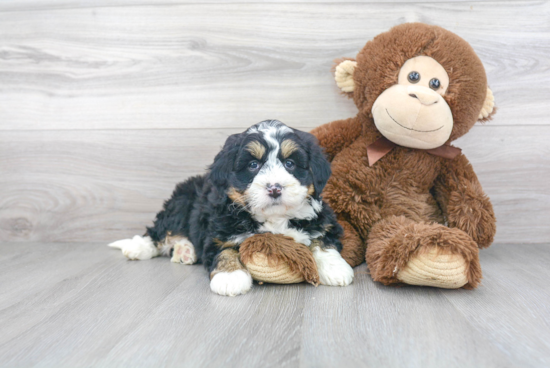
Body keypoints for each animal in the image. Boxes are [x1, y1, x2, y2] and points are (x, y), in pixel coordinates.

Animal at [110, 121, 356, 296]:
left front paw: (336, 268)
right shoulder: (219, 231)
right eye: (253, 165)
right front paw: (230, 277)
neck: (275, 219)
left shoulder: (324, 220)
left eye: (290, 164)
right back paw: (138, 248)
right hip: (180, 203)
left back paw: (185, 251)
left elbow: (323, 241)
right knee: (159, 232)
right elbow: (225, 250)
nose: (274, 188)